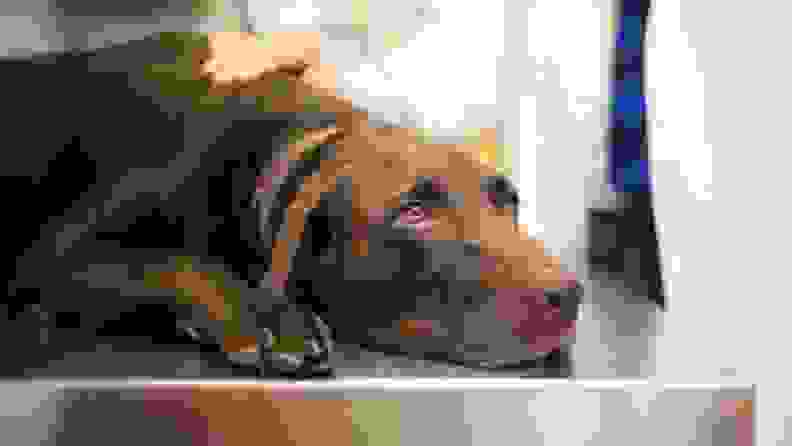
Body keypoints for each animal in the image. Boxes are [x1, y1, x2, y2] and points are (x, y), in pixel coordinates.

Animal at [0, 31, 580, 378]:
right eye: (413, 213)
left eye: (509, 202)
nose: (569, 296)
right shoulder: (53, 263)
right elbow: (176, 260)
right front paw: (270, 318)